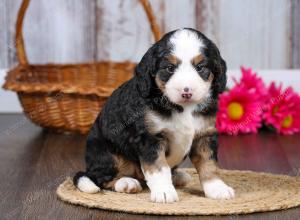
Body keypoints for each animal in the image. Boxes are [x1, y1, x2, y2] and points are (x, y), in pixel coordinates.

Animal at [73, 28, 234, 204]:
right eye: (170, 68)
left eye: (200, 67)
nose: (187, 91)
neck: (183, 108)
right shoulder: (149, 137)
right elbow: (159, 168)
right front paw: (164, 192)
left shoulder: (204, 135)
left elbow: (209, 164)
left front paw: (217, 188)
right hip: (107, 154)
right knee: (102, 178)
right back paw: (126, 182)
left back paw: (177, 176)